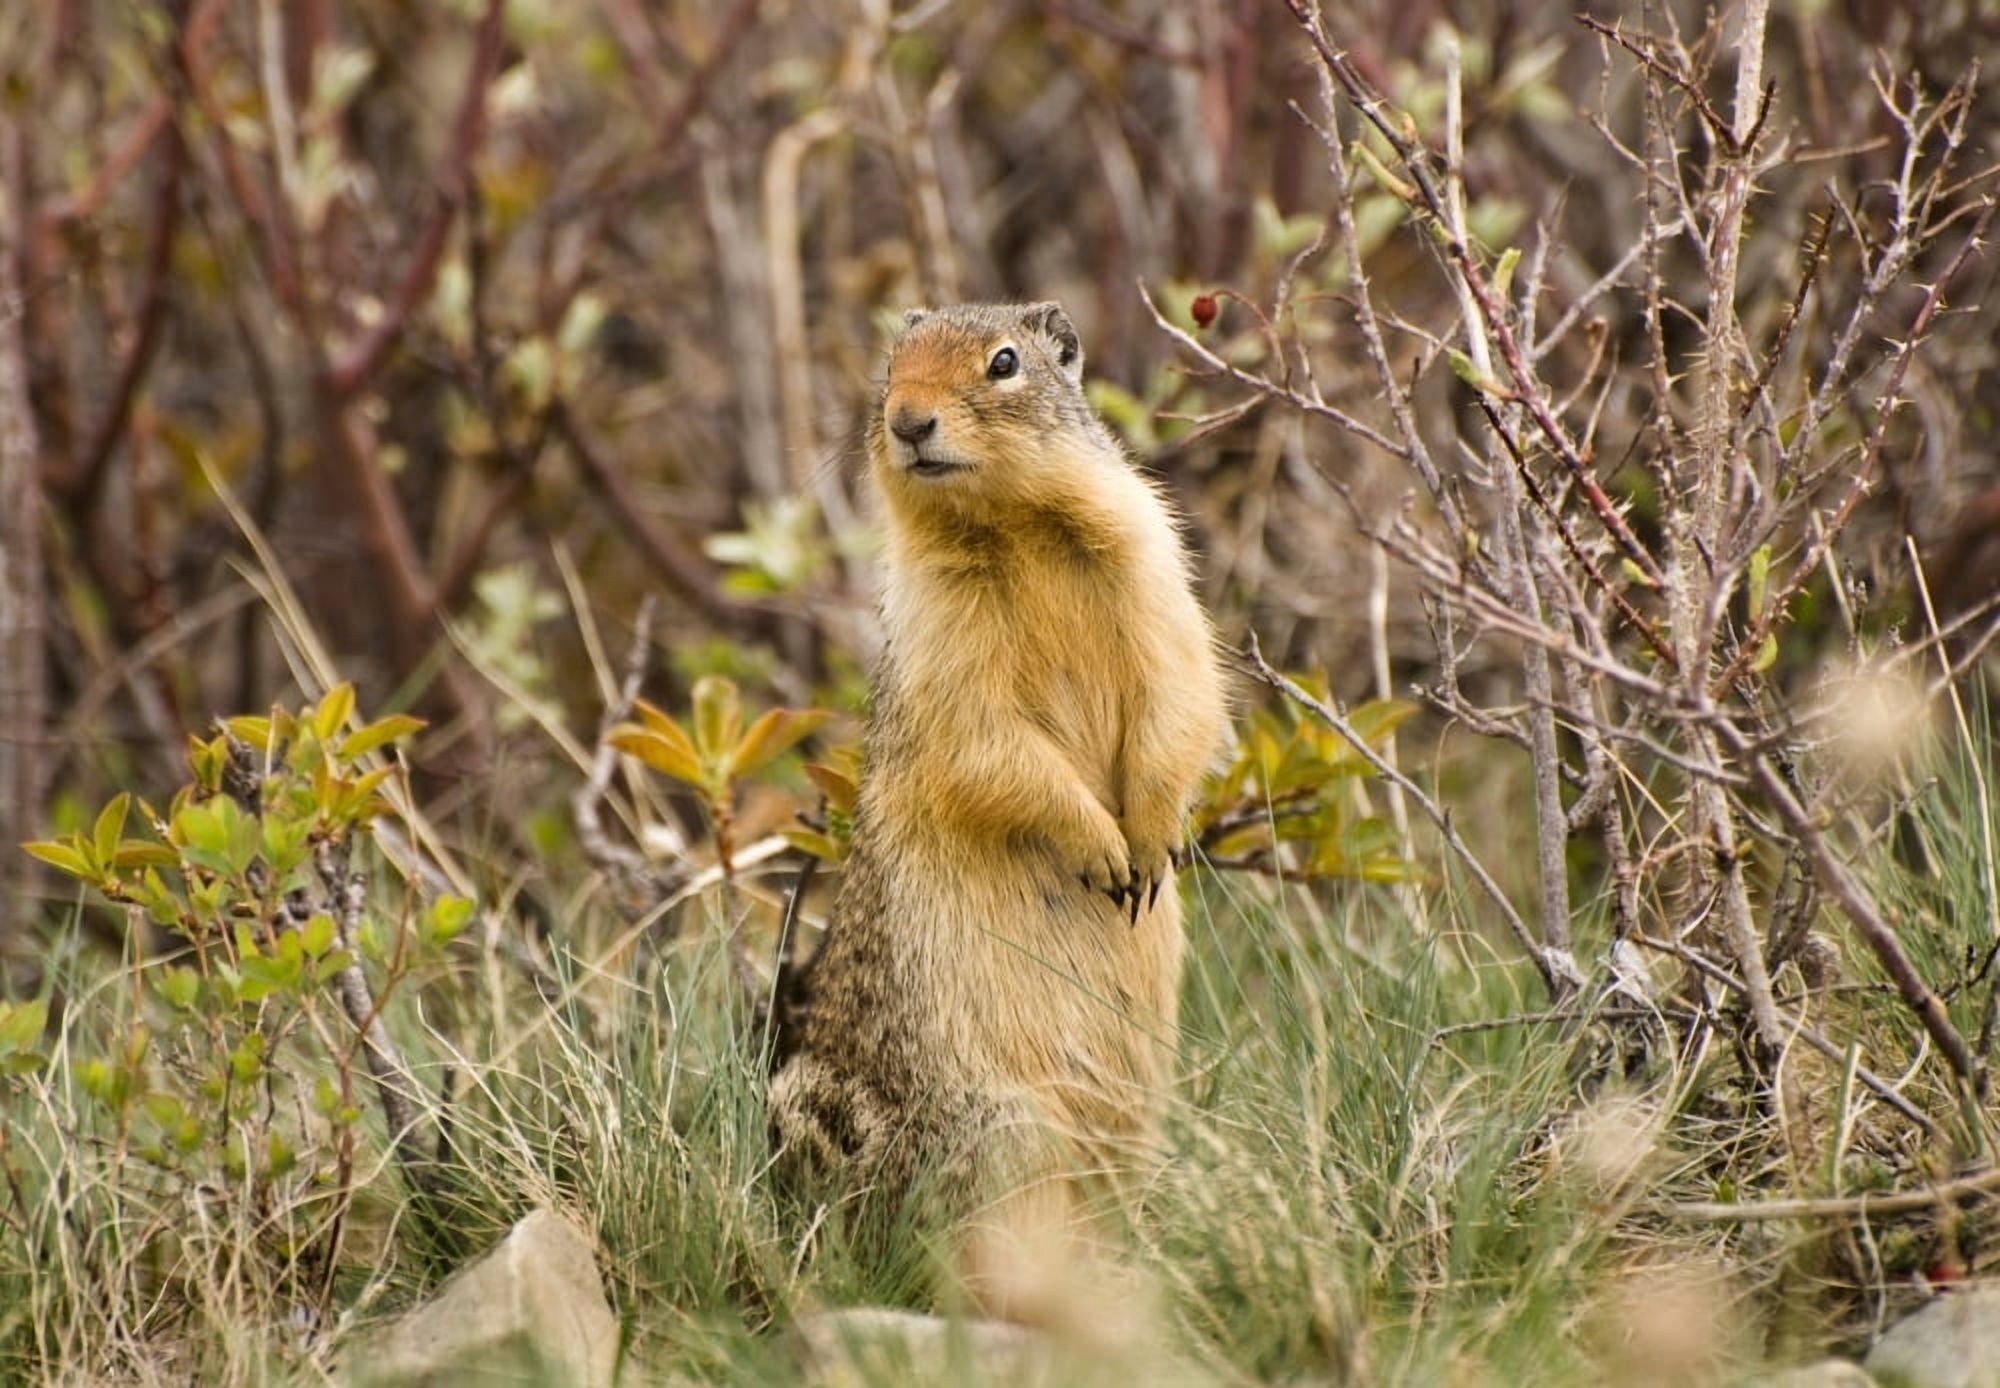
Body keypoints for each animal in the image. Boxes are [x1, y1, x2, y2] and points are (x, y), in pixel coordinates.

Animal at [766, 301, 1227, 1296]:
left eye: (1005, 361)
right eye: (890, 365)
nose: (907, 420)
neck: (1015, 527)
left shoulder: (1157, 570)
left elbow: (1180, 698)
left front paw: (1150, 843)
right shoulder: (943, 646)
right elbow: (995, 747)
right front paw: (1102, 848)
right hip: (1000, 1127)